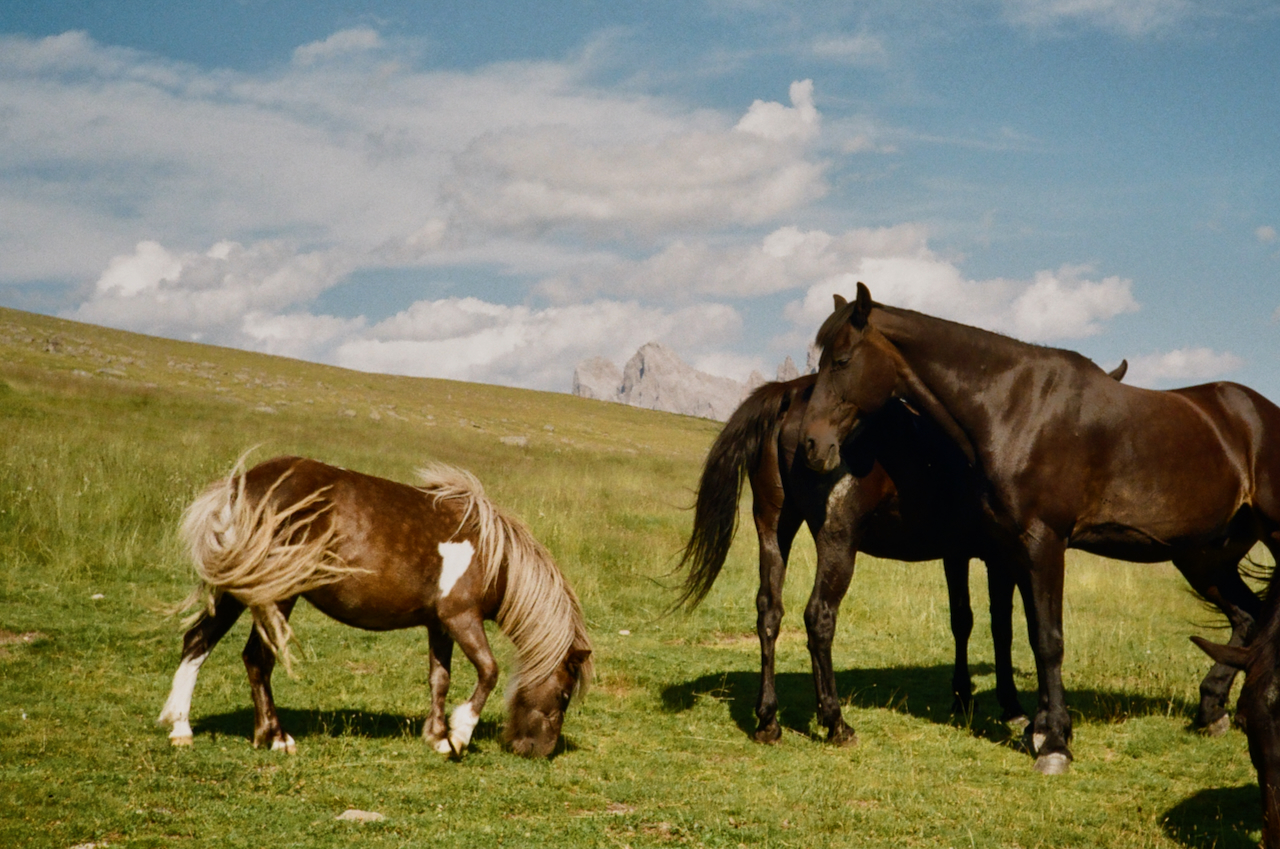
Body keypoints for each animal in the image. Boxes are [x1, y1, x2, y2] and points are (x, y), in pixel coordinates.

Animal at [158, 456, 593, 759]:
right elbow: (488, 671)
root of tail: (241, 487)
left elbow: (440, 678)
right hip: (277, 595)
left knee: (198, 641)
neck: (491, 552)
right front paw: (459, 736)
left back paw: (181, 729)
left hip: (234, 587)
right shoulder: (461, 618)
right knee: (257, 659)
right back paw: (277, 737)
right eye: (564, 695)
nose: (536, 751)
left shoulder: (439, 625)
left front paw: (437, 737)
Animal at [677, 373, 1031, 746]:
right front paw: (1011, 705)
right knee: (819, 616)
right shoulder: (999, 559)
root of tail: (790, 390)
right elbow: (1001, 627)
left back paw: (768, 721)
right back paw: (836, 723)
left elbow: (962, 621)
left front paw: (963, 696)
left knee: (769, 612)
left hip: (774, 529)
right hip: (838, 544)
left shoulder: (956, 554)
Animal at [799, 283, 1278, 774]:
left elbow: (1048, 640)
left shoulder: (1043, 543)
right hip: (1204, 557)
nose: (812, 444)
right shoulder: (1012, 549)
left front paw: (1055, 745)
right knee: (1247, 616)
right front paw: (1042, 727)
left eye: (841, 360)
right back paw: (1214, 709)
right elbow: (1027, 632)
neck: (1016, 408)